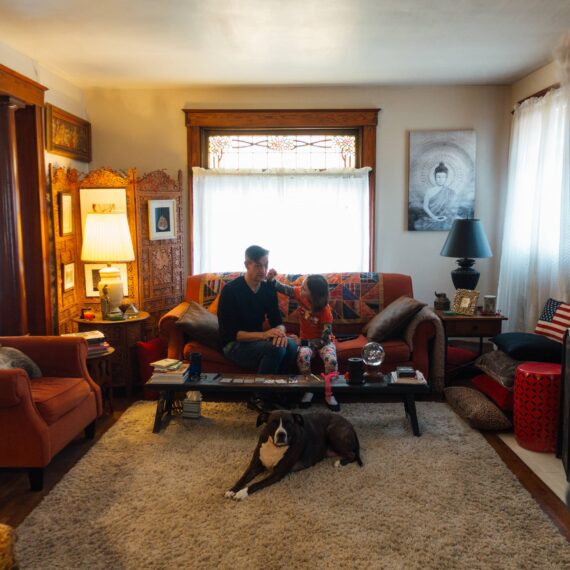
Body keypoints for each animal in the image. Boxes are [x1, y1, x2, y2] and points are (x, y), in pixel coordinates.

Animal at [224, 408, 362, 496]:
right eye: (273, 423)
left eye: (289, 423)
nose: (281, 434)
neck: (275, 446)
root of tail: (350, 424)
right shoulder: (254, 466)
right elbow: (242, 478)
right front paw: (232, 490)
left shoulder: (277, 473)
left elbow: (256, 484)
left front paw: (242, 493)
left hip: (332, 430)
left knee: (352, 454)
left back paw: (339, 462)